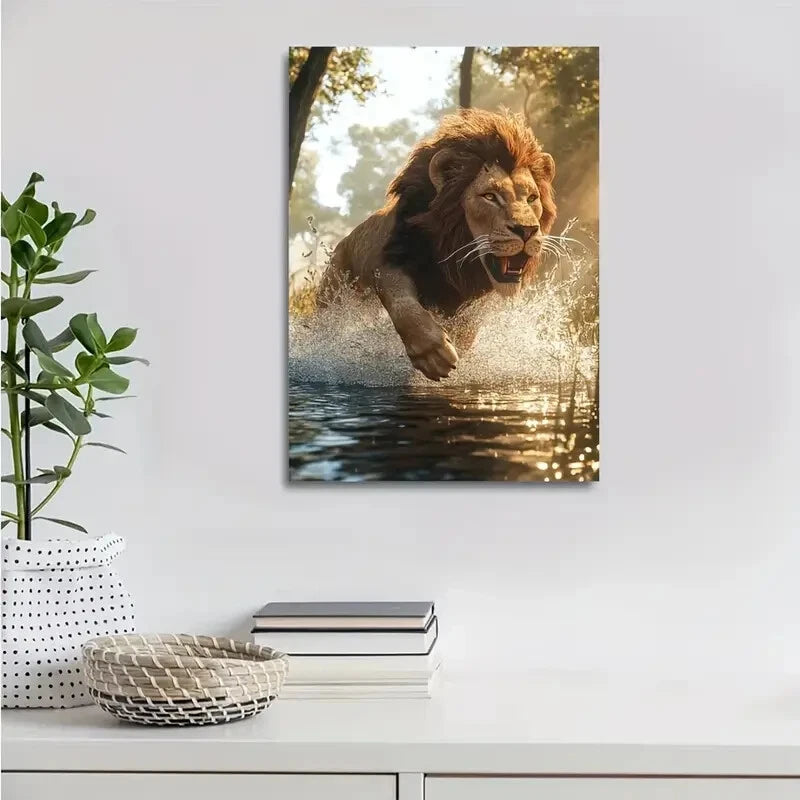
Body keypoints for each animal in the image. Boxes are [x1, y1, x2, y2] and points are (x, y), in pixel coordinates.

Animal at [319, 108, 556, 381]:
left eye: (532, 198)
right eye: (489, 196)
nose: (527, 230)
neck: (455, 257)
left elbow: (466, 332)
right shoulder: (389, 261)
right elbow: (403, 304)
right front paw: (433, 353)